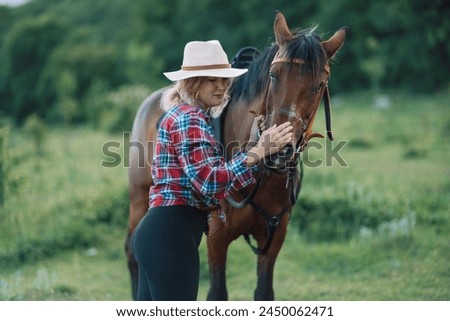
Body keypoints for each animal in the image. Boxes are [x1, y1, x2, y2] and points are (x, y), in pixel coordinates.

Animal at [125, 10, 346, 300]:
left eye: (319, 84)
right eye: (273, 75)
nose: (280, 151)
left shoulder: (274, 235)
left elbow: (264, 292)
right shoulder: (217, 236)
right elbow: (217, 292)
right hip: (139, 199)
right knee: (133, 251)